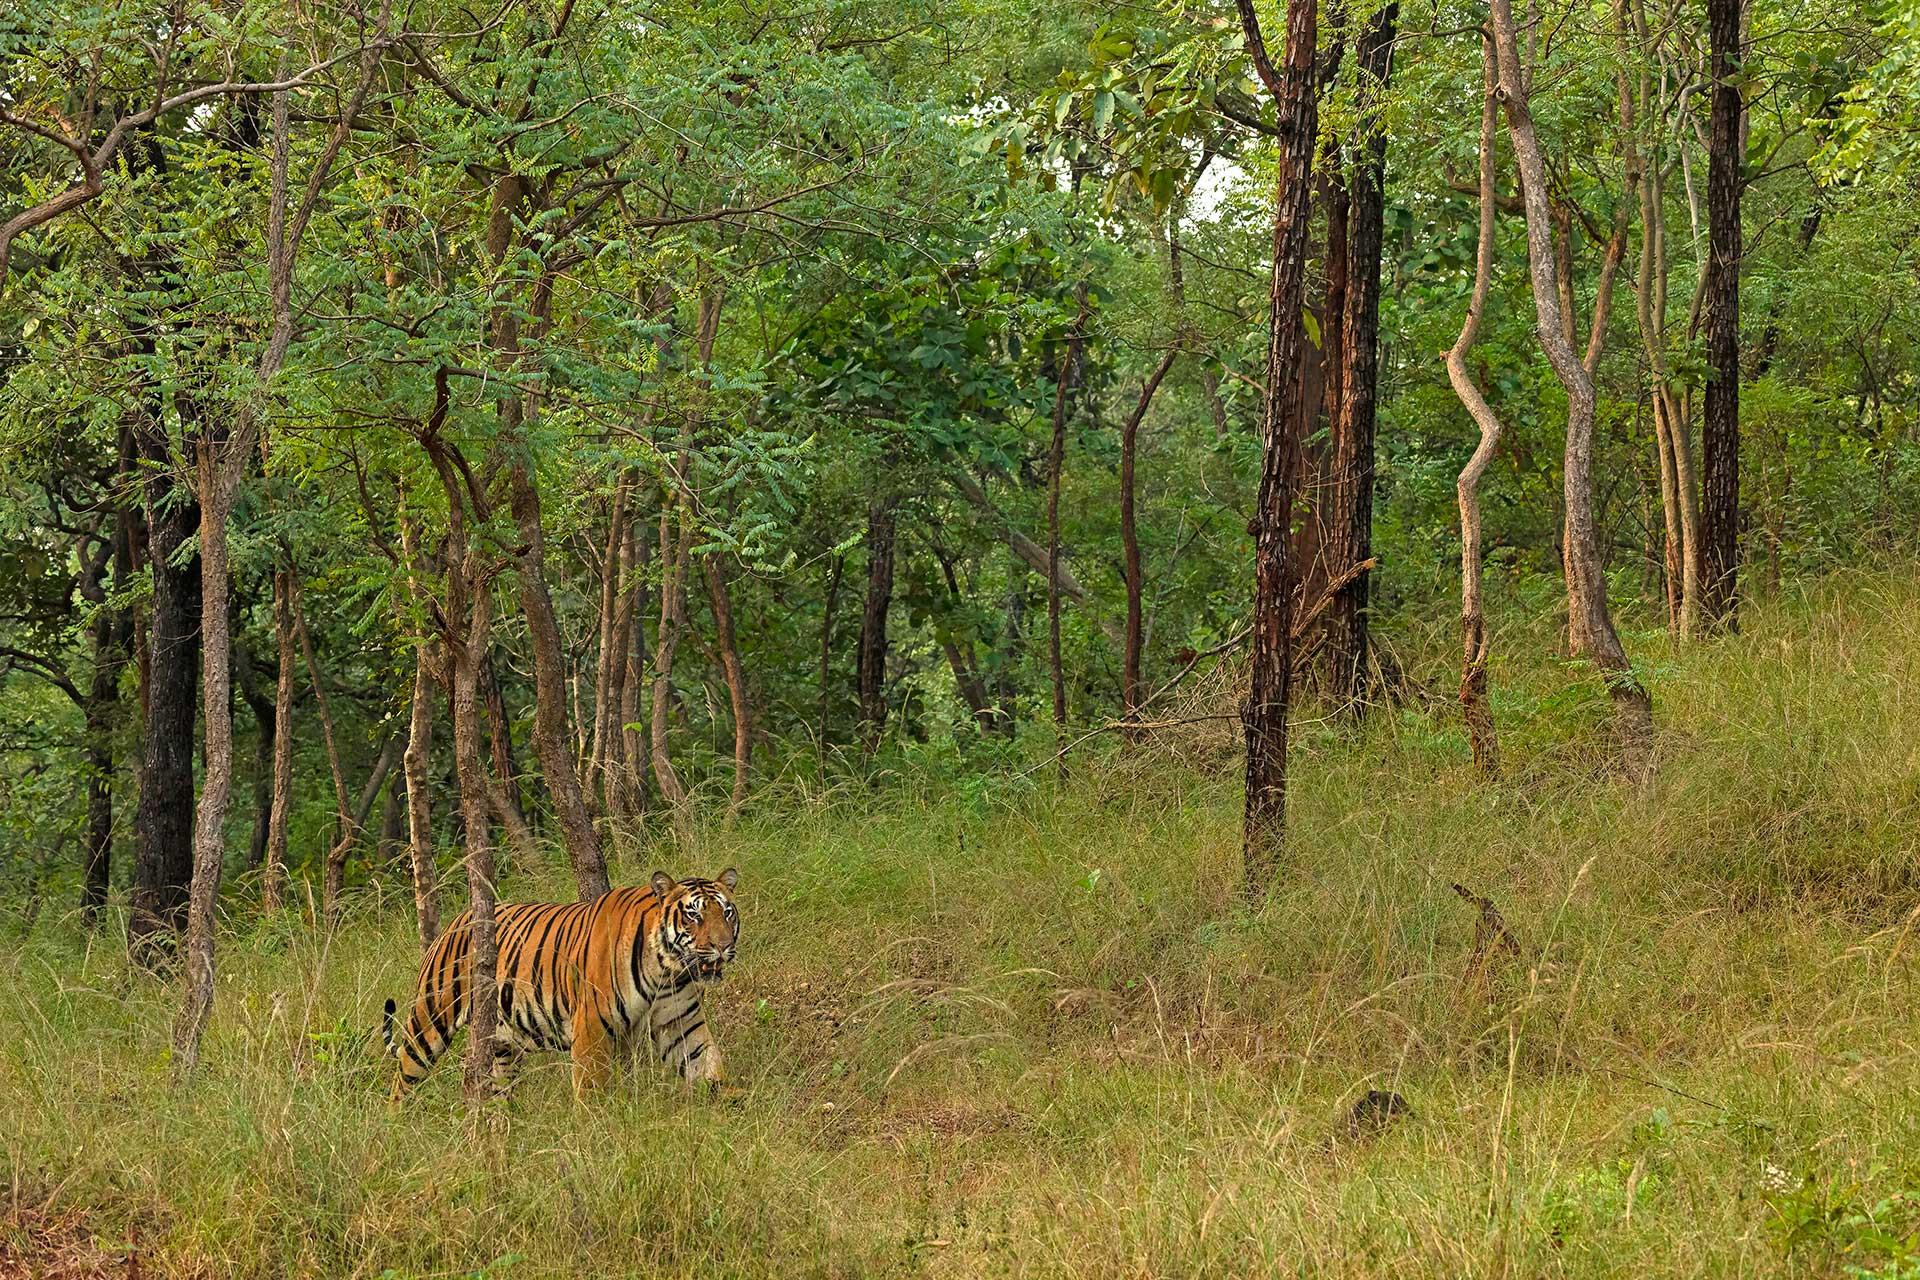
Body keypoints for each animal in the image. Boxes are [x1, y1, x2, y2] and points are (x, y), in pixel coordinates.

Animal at [381, 868, 739, 1099]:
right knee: (404, 1076)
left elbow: (706, 1064)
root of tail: (454, 921)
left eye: (727, 913)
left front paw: (728, 1106)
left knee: (498, 1091)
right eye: (694, 915)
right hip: (430, 1020)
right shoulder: (591, 1029)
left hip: (503, 1044)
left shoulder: (681, 1025)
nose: (723, 946)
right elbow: (592, 1090)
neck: (667, 970)